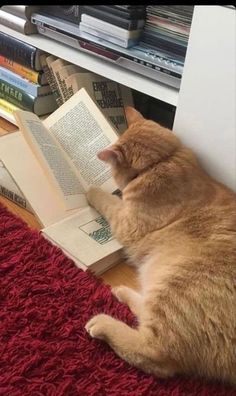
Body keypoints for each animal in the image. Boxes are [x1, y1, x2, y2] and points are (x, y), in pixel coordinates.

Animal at [85, 106, 236, 386]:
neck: (164, 160)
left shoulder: (125, 221)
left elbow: (106, 201)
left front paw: (92, 191)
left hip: (174, 288)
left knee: (154, 355)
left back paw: (103, 324)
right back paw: (122, 292)